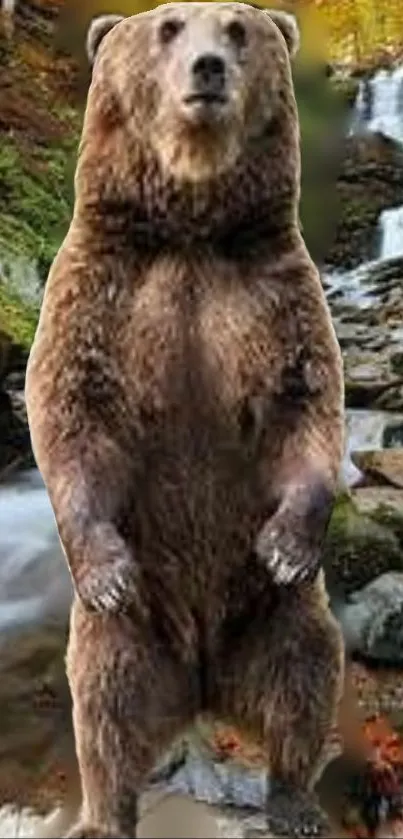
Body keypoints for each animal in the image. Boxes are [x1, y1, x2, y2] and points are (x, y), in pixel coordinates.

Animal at [26, 3, 348, 836]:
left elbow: (306, 404)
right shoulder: (100, 292)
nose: (209, 68)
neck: (191, 232)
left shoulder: (272, 294)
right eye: (168, 26)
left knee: (304, 680)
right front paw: (107, 570)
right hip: (131, 641)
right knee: (103, 712)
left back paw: (294, 800)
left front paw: (286, 546)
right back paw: (105, 812)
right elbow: (70, 413)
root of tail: (203, 685)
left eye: (236, 28)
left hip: (274, 621)